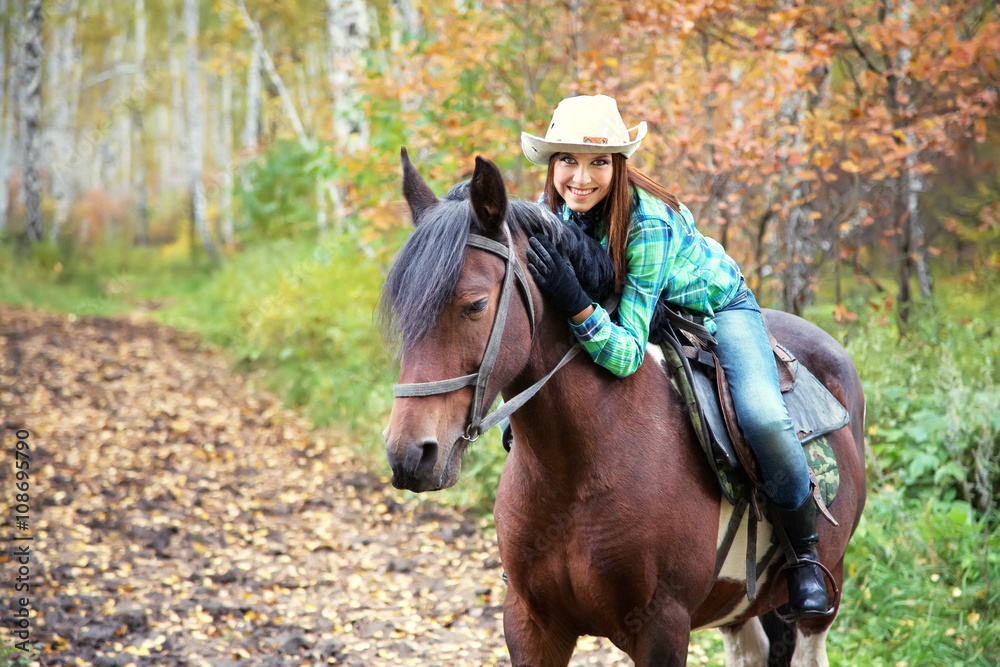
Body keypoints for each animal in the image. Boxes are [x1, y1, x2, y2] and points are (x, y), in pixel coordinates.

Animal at [378, 151, 864, 667]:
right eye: (403, 311)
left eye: (475, 305)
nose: (410, 454)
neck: (576, 469)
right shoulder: (530, 624)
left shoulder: (662, 627)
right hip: (734, 607)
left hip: (820, 597)